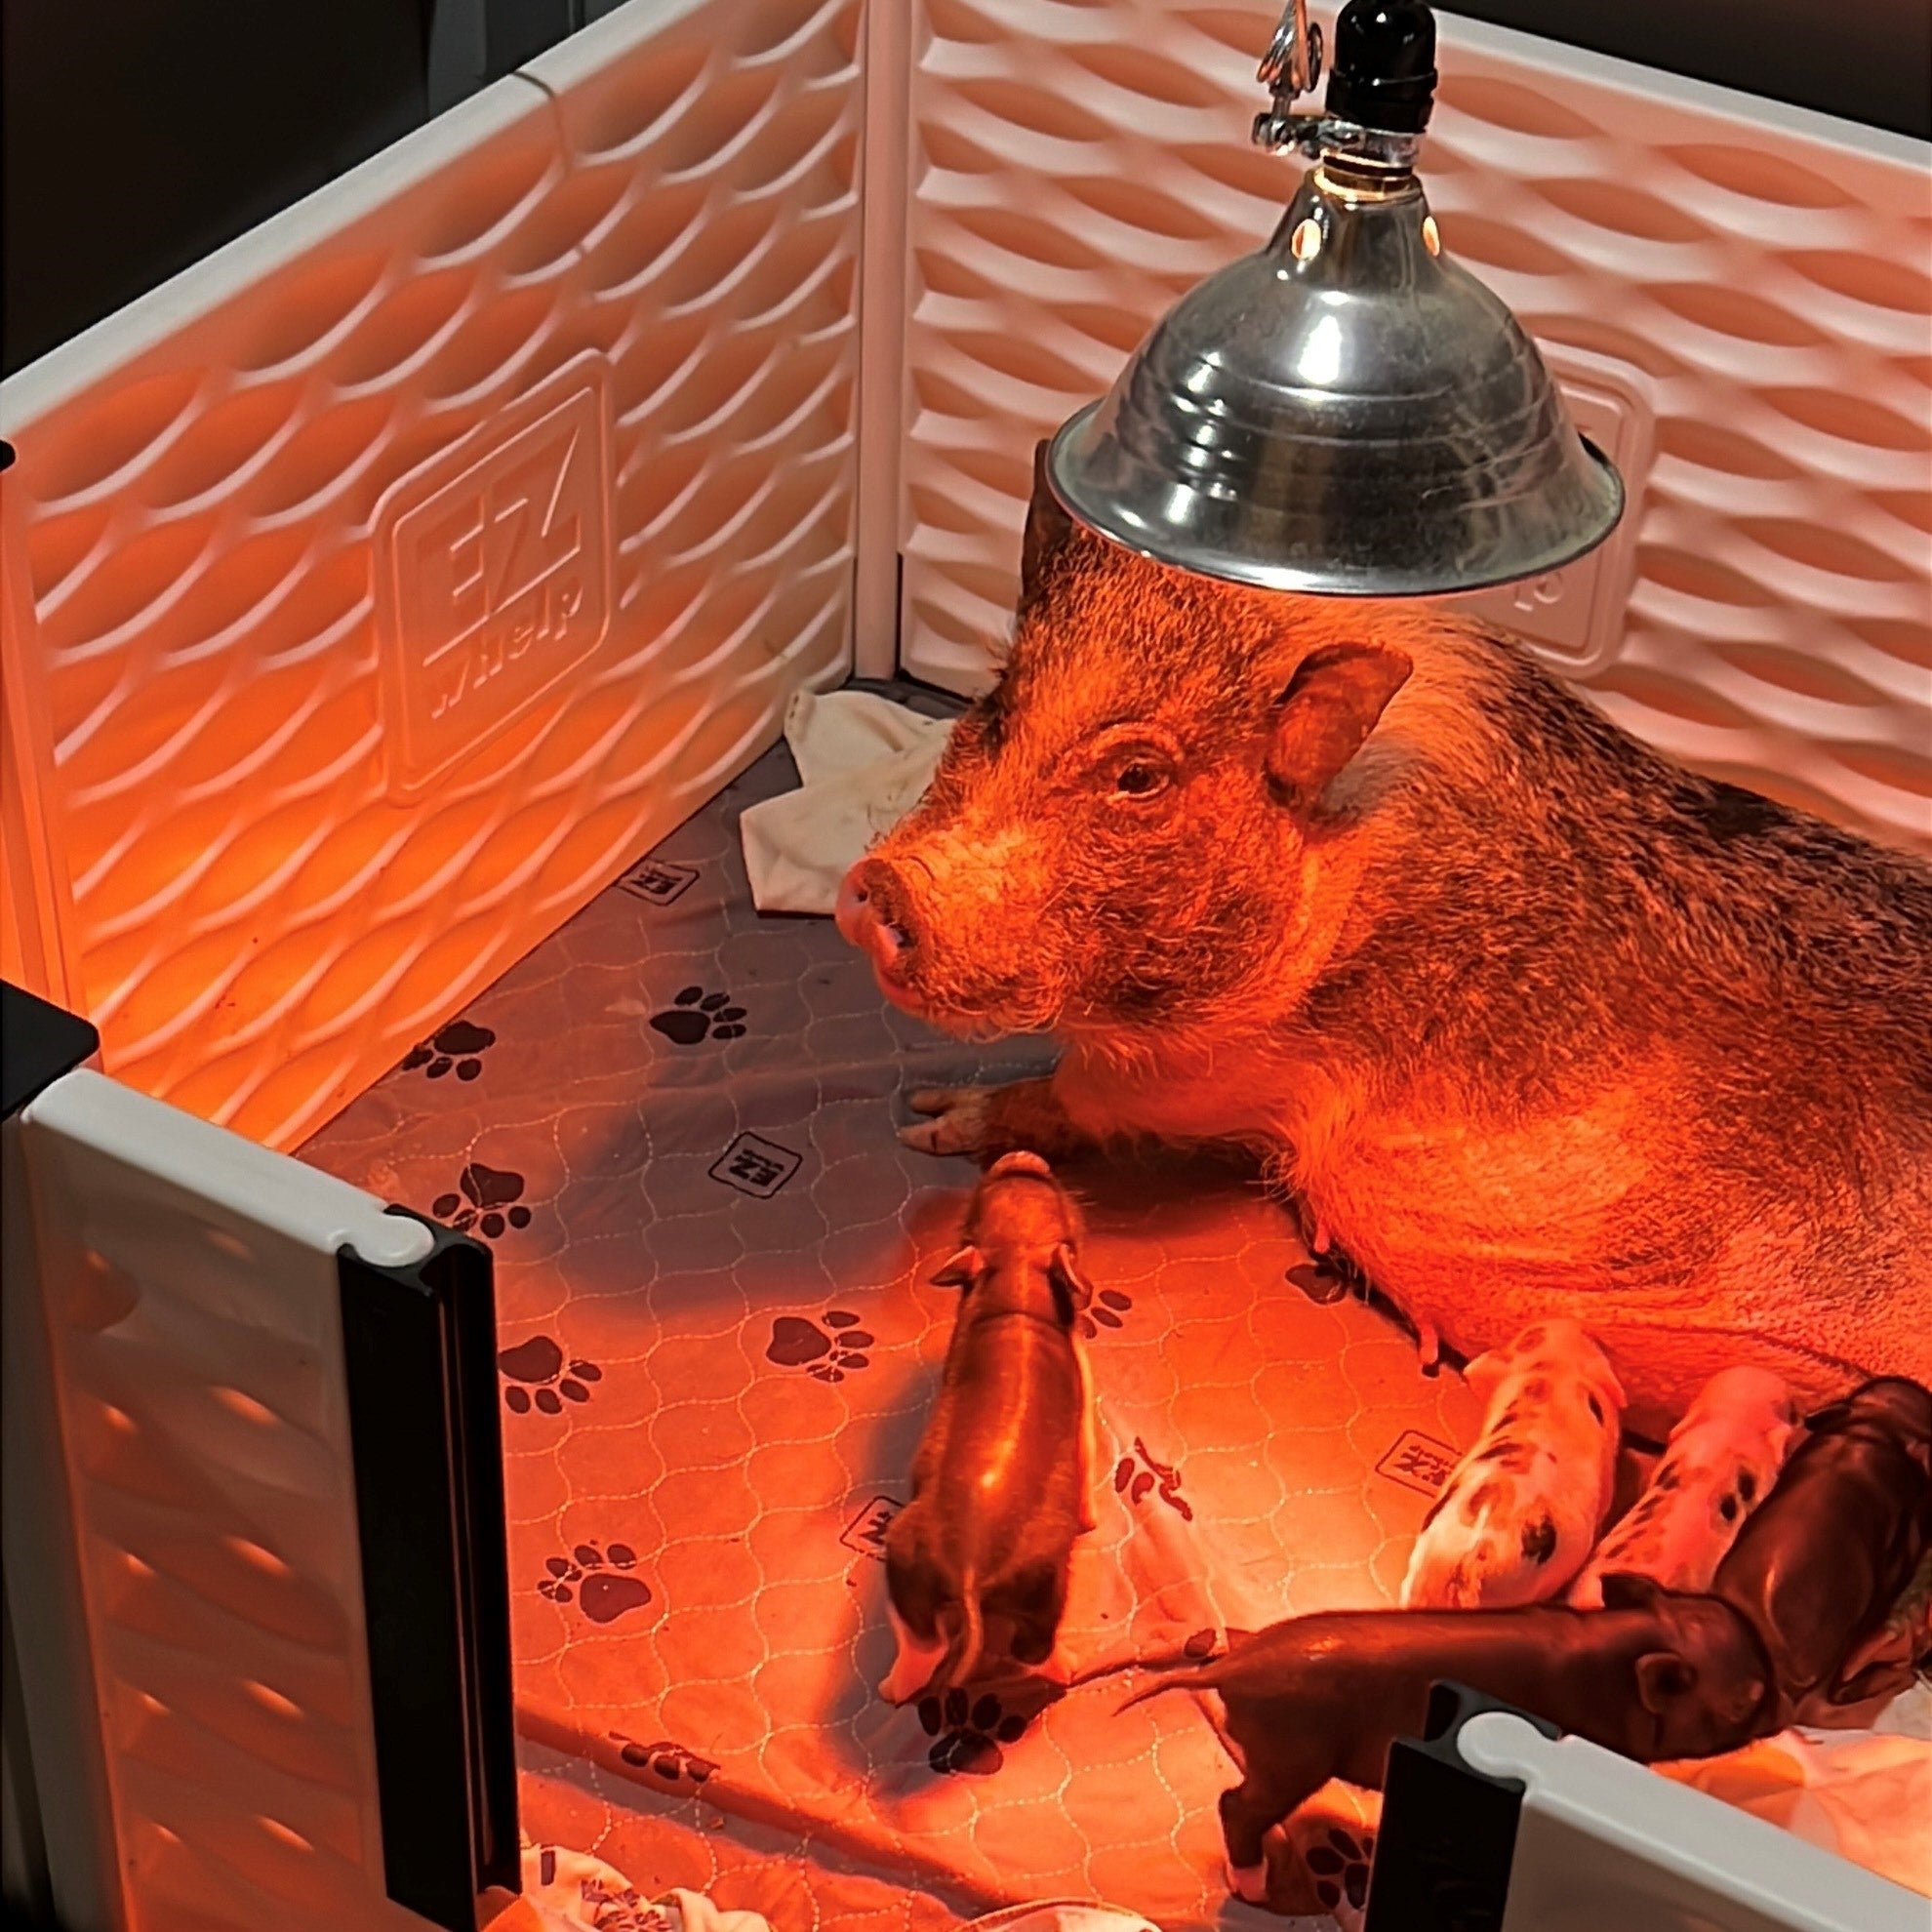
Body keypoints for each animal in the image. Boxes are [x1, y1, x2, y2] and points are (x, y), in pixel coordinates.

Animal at [837, 443, 1932, 1431]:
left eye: (1138, 776)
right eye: (996, 705)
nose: (878, 887)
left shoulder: (1212, 1077)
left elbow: (1072, 1095)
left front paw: (926, 1121)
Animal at [878, 1150, 1099, 1704]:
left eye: (975, 1209)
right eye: (1057, 1198)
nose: (1022, 1157)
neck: (1014, 1278)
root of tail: (968, 1572)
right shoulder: (1087, 1399)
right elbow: (1089, 1461)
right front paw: (1090, 1520)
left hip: (904, 1572)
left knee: (920, 1648)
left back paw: (892, 1688)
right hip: (1044, 1590)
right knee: (1034, 1650)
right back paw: (1069, 1666)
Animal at [1116, 1581, 1773, 1903]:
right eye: (1744, 1700)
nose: (1784, 1698)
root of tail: (1237, 1665)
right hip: (1294, 1757)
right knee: (1237, 1808)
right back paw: (1254, 1887)